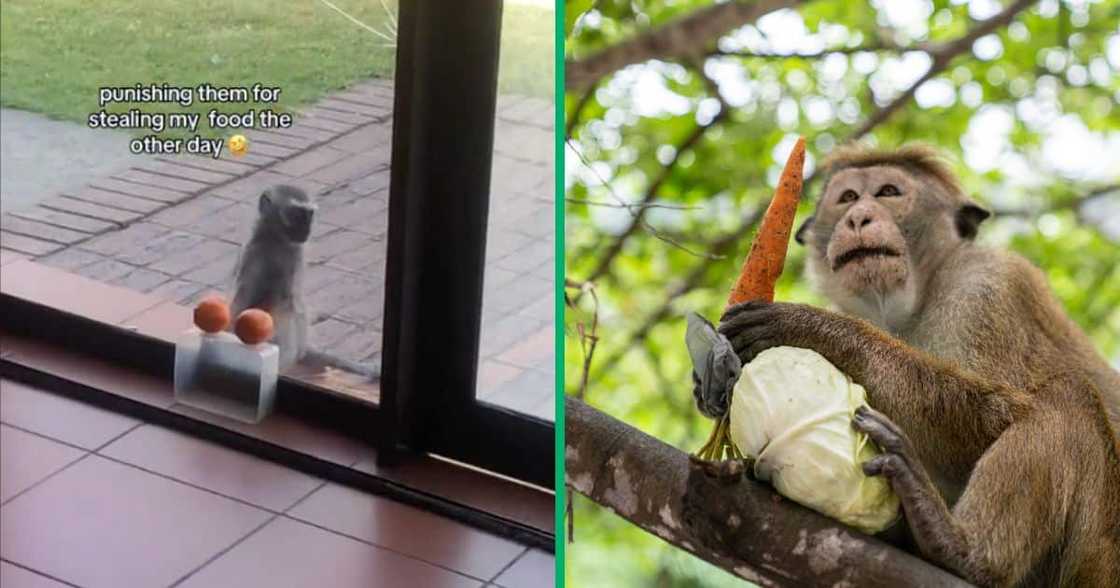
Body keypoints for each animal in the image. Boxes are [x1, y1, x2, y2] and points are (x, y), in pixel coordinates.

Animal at [229, 184, 379, 379]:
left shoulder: (292, 253)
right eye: (297, 215)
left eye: (309, 215)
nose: (306, 229)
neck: (273, 239)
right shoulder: (255, 252)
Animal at [693, 145, 1120, 587]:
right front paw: (710, 383)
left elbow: (1004, 409)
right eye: (847, 198)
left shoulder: (988, 287)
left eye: (888, 192)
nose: (858, 217)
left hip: (1101, 558)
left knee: (1068, 394)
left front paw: (817, 329)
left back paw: (964, 551)